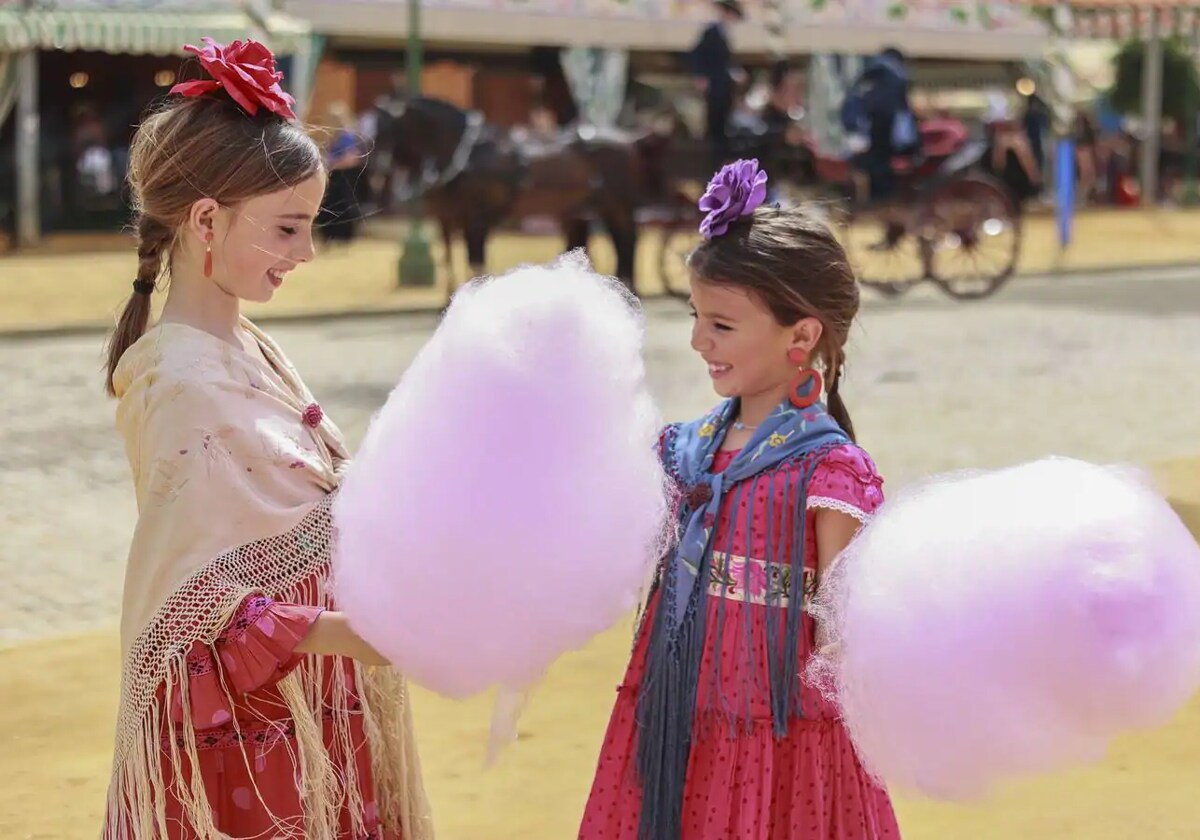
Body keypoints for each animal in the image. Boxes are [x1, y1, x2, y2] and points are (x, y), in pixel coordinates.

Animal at [369, 95, 672, 296]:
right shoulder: (446, 218)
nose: (374, 173)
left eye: (387, 130)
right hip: (581, 210)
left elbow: (475, 264)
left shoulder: (476, 219)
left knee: (627, 243)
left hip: (617, 207)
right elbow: (447, 257)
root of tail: (629, 141)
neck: (465, 154)